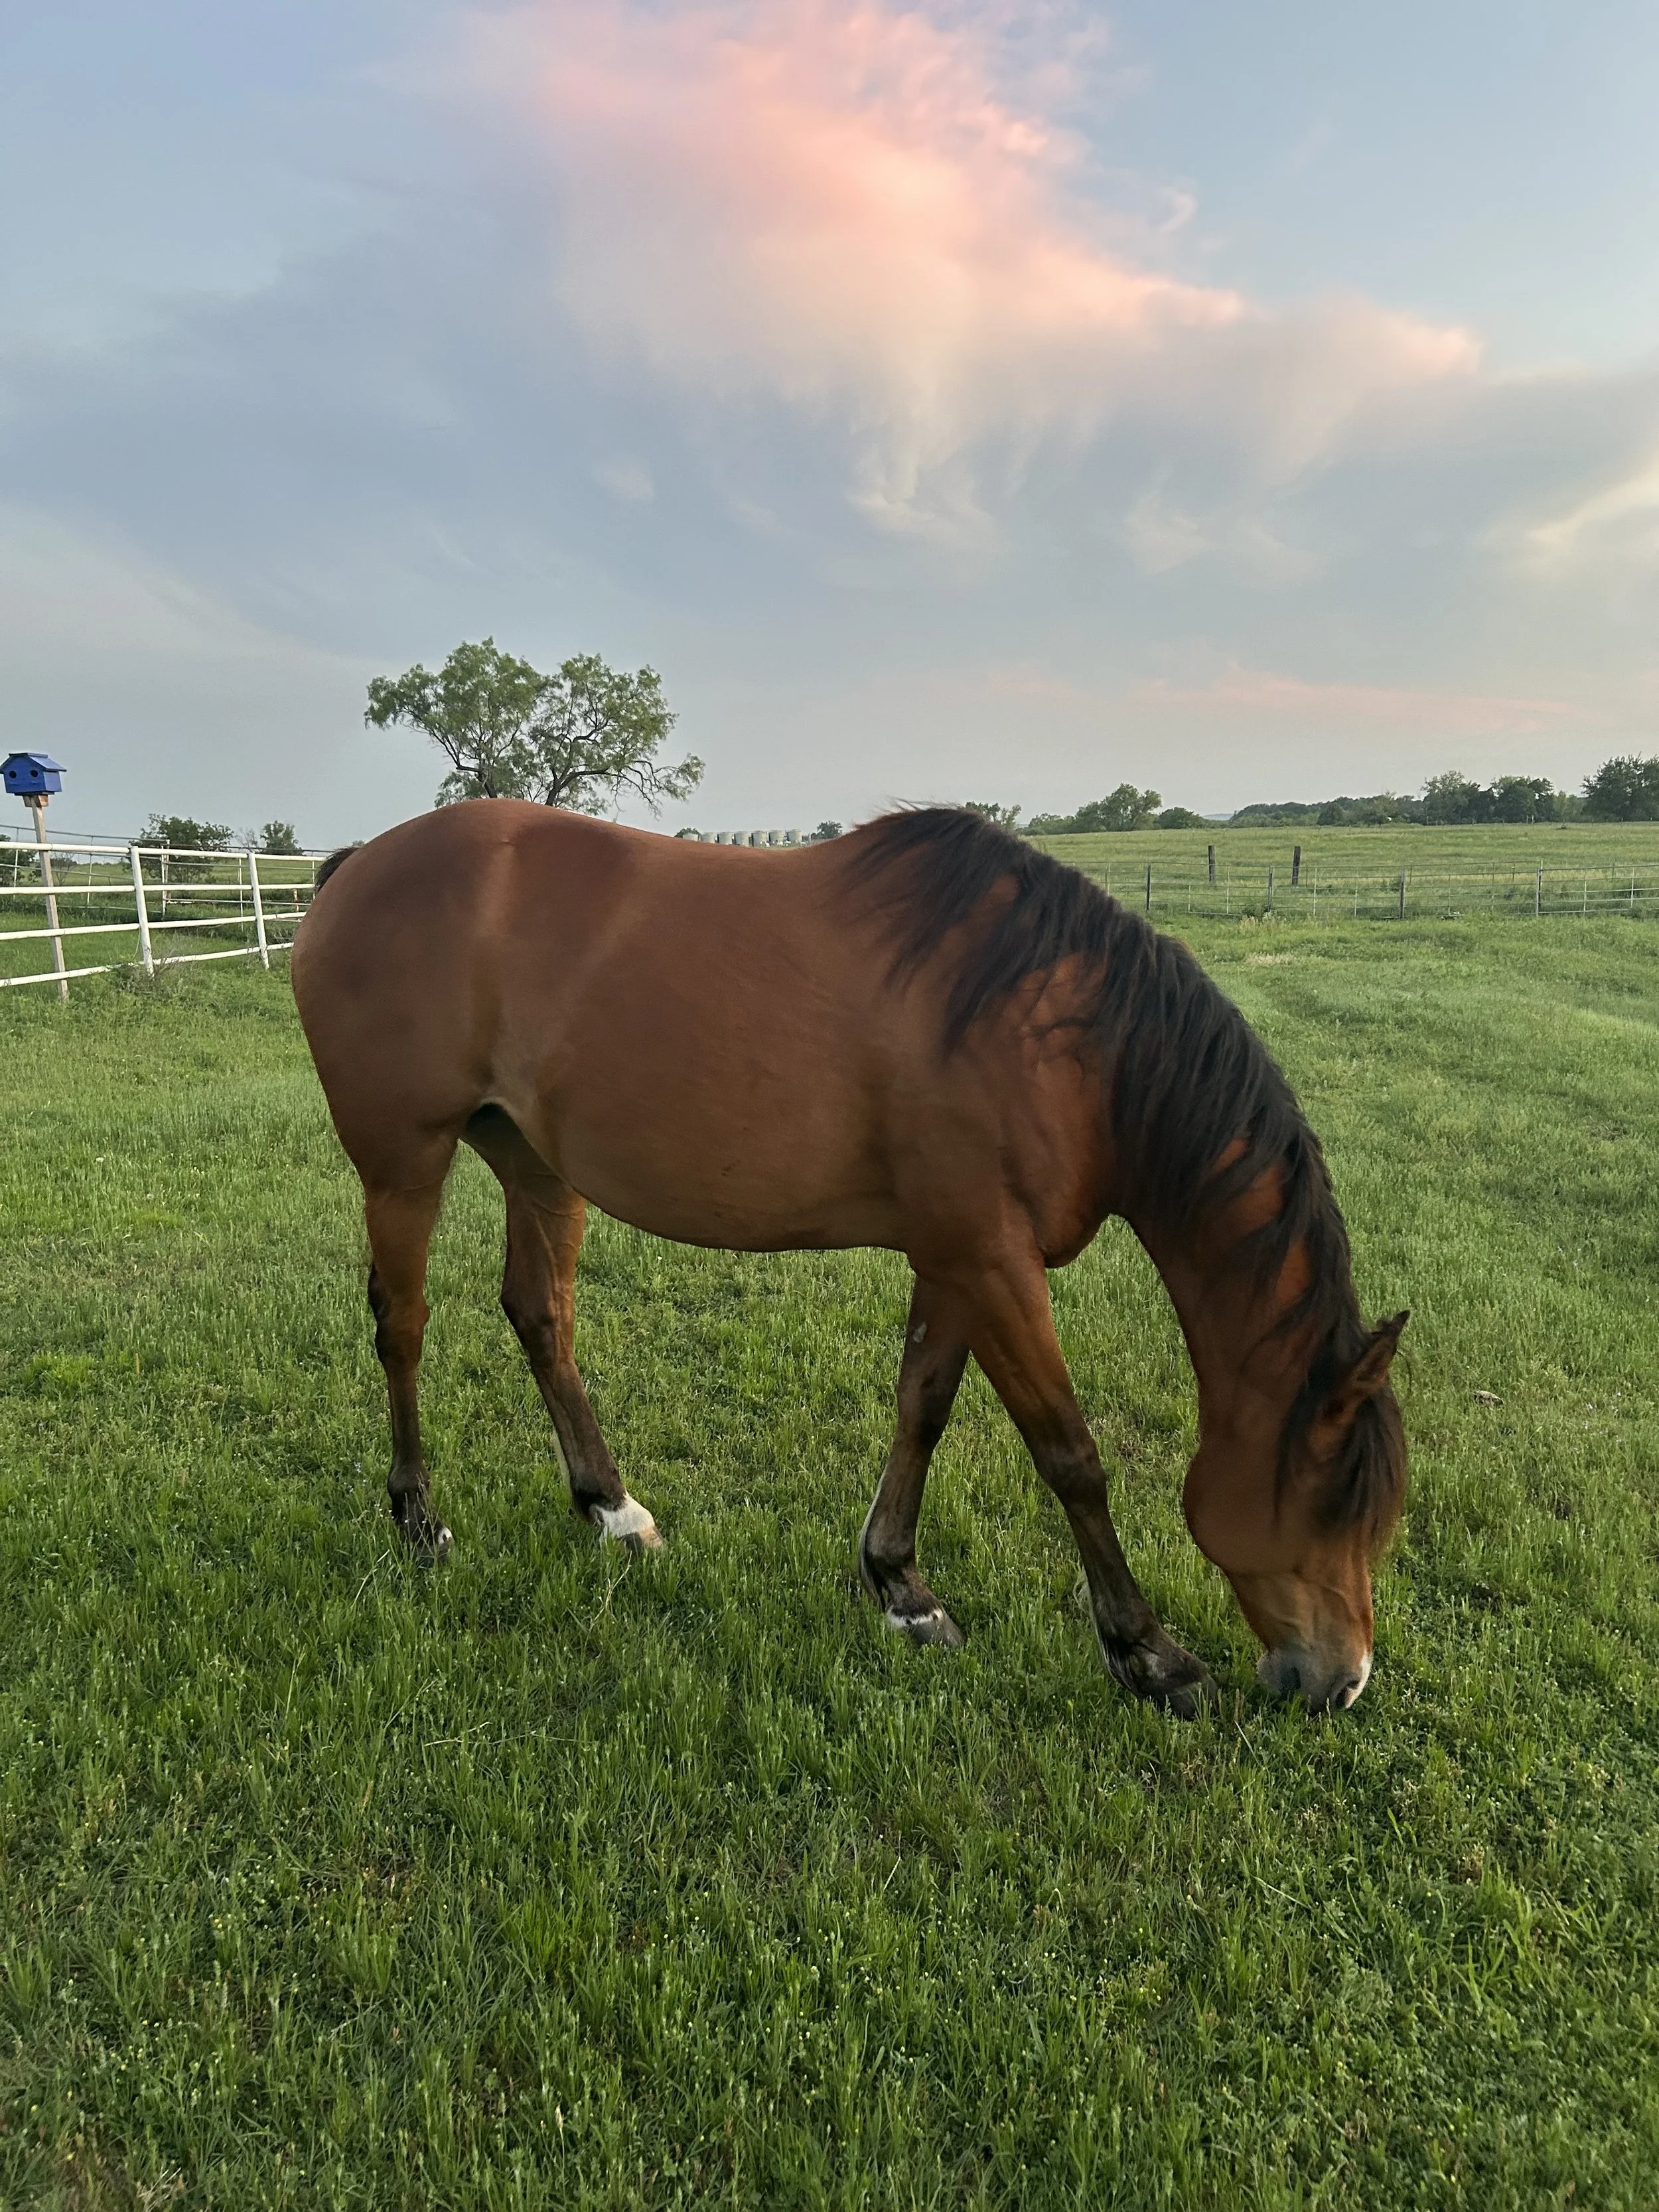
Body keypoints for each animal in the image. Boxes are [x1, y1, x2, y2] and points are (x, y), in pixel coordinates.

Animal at [291, 803, 1406, 1716]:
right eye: (1332, 1504)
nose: (1341, 1682)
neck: (1063, 1039)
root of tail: (355, 865)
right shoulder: (991, 1260)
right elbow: (1070, 1455)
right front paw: (1148, 1654)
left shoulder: (956, 1256)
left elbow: (923, 1409)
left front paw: (900, 1585)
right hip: (404, 1164)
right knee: (403, 1324)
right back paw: (418, 1519)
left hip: (536, 1164)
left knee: (541, 1315)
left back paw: (610, 1506)